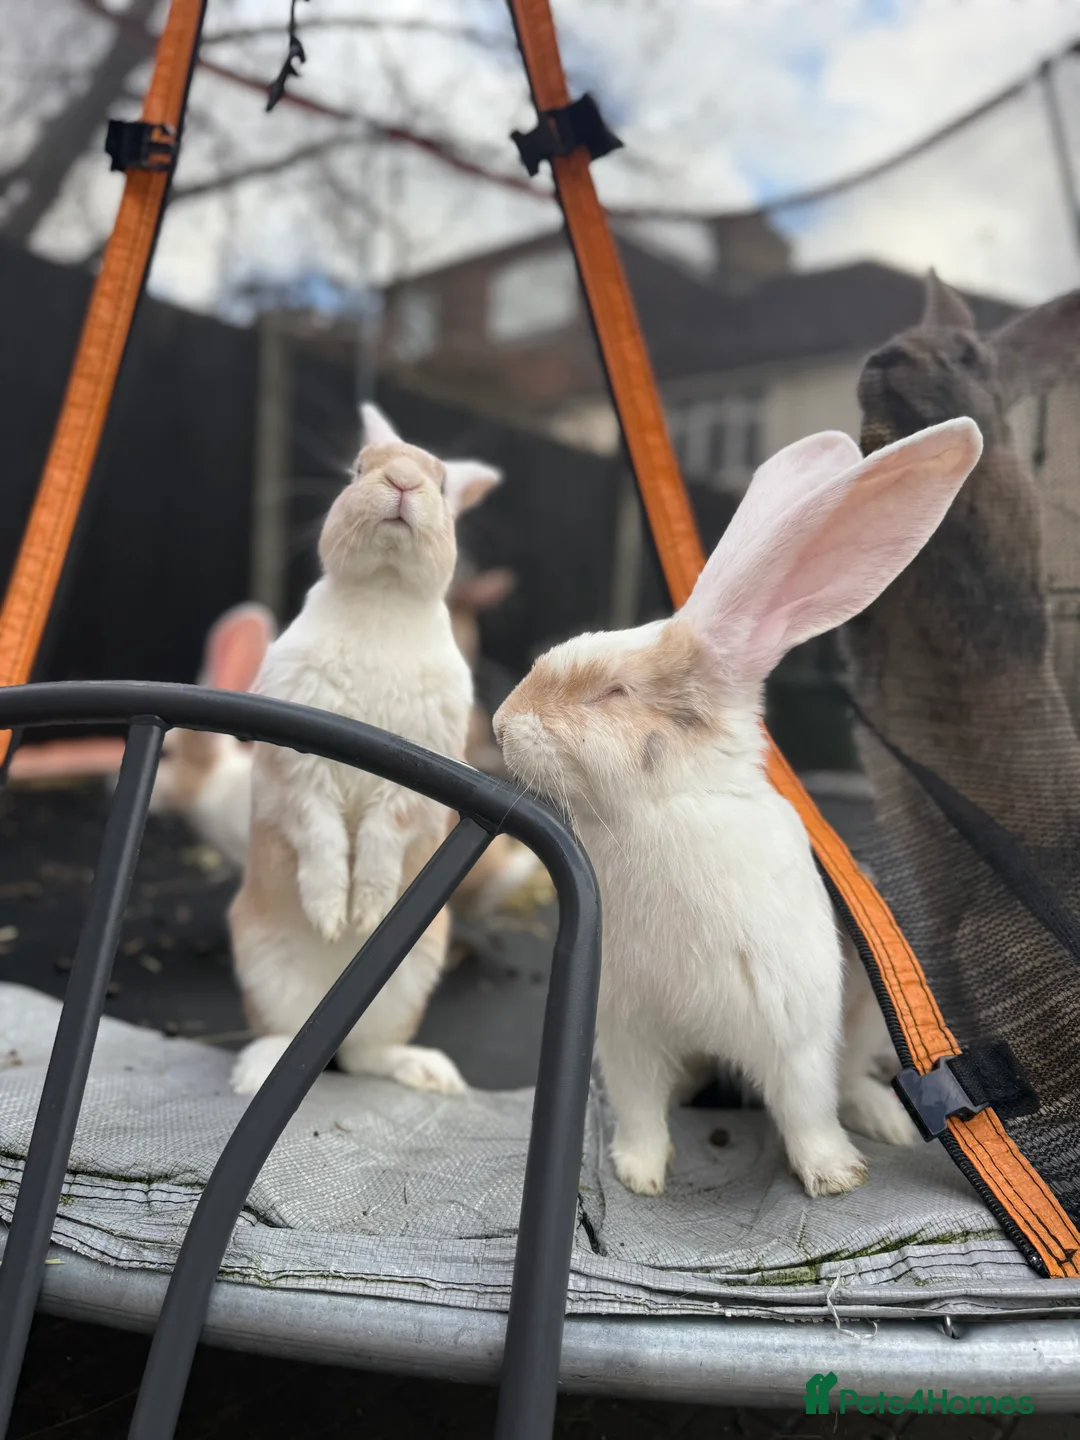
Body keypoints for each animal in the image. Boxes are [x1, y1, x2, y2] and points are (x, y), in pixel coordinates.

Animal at [227, 403, 502, 1097]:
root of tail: (333, 1020)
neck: (383, 593)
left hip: (410, 981)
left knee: (370, 1055)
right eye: (358, 468)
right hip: (262, 965)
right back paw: (257, 1071)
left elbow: (381, 835)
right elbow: (321, 833)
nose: (402, 482)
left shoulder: (414, 786)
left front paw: (370, 911)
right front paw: (332, 914)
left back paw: (428, 1072)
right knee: (283, 1036)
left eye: (441, 485)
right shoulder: (298, 772)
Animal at [493, 417, 983, 1198]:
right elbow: (639, 1104)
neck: (662, 811)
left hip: (864, 1015)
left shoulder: (795, 1027)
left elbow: (806, 1104)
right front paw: (638, 1173)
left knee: (849, 1077)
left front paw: (834, 1176)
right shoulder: (626, 1030)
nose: (501, 724)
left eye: (613, 693)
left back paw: (887, 1121)